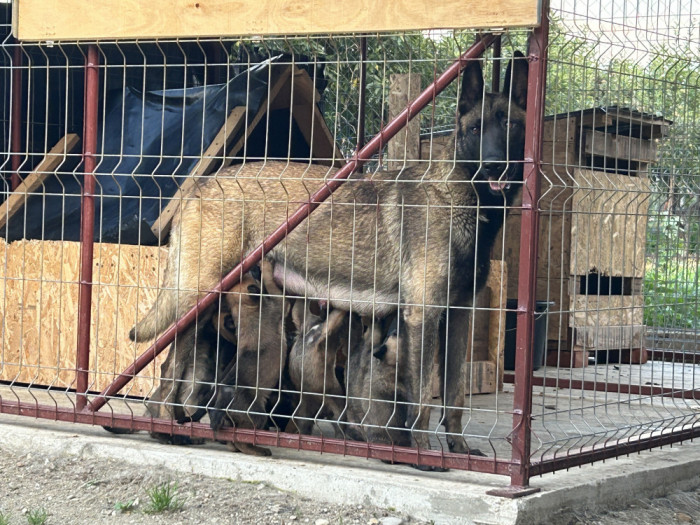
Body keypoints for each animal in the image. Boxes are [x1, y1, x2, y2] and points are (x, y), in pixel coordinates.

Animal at [131, 52, 528, 454]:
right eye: (475, 129)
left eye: (509, 125)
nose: (495, 165)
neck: (461, 198)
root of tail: (204, 183)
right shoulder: (424, 317)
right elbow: (421, 404)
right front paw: (422, 453)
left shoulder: (458, 318)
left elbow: (455, 397)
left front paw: (458, 450)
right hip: (196, 298)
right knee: (168, 374)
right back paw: (169, 429)